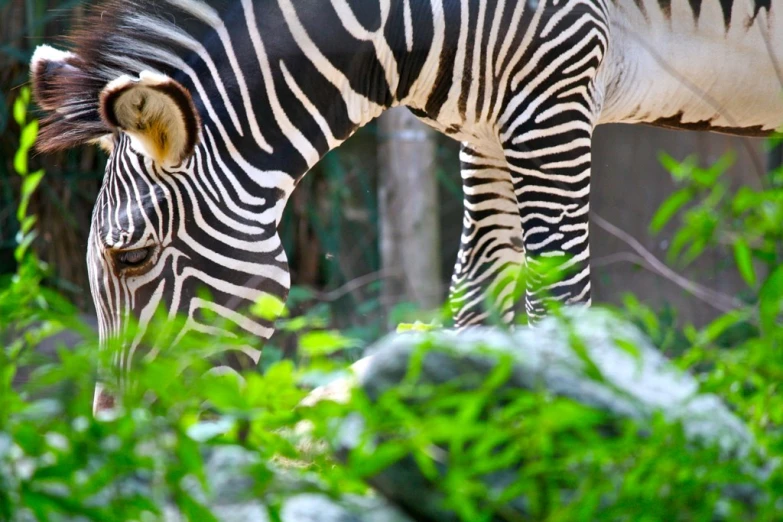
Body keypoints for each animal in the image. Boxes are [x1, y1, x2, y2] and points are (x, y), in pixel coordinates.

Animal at [30, 0, 783, 410]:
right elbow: (475, 303)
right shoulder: (488, 126)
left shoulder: (552, 98)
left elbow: (559, 301)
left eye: (131, 257)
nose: (119, 434)